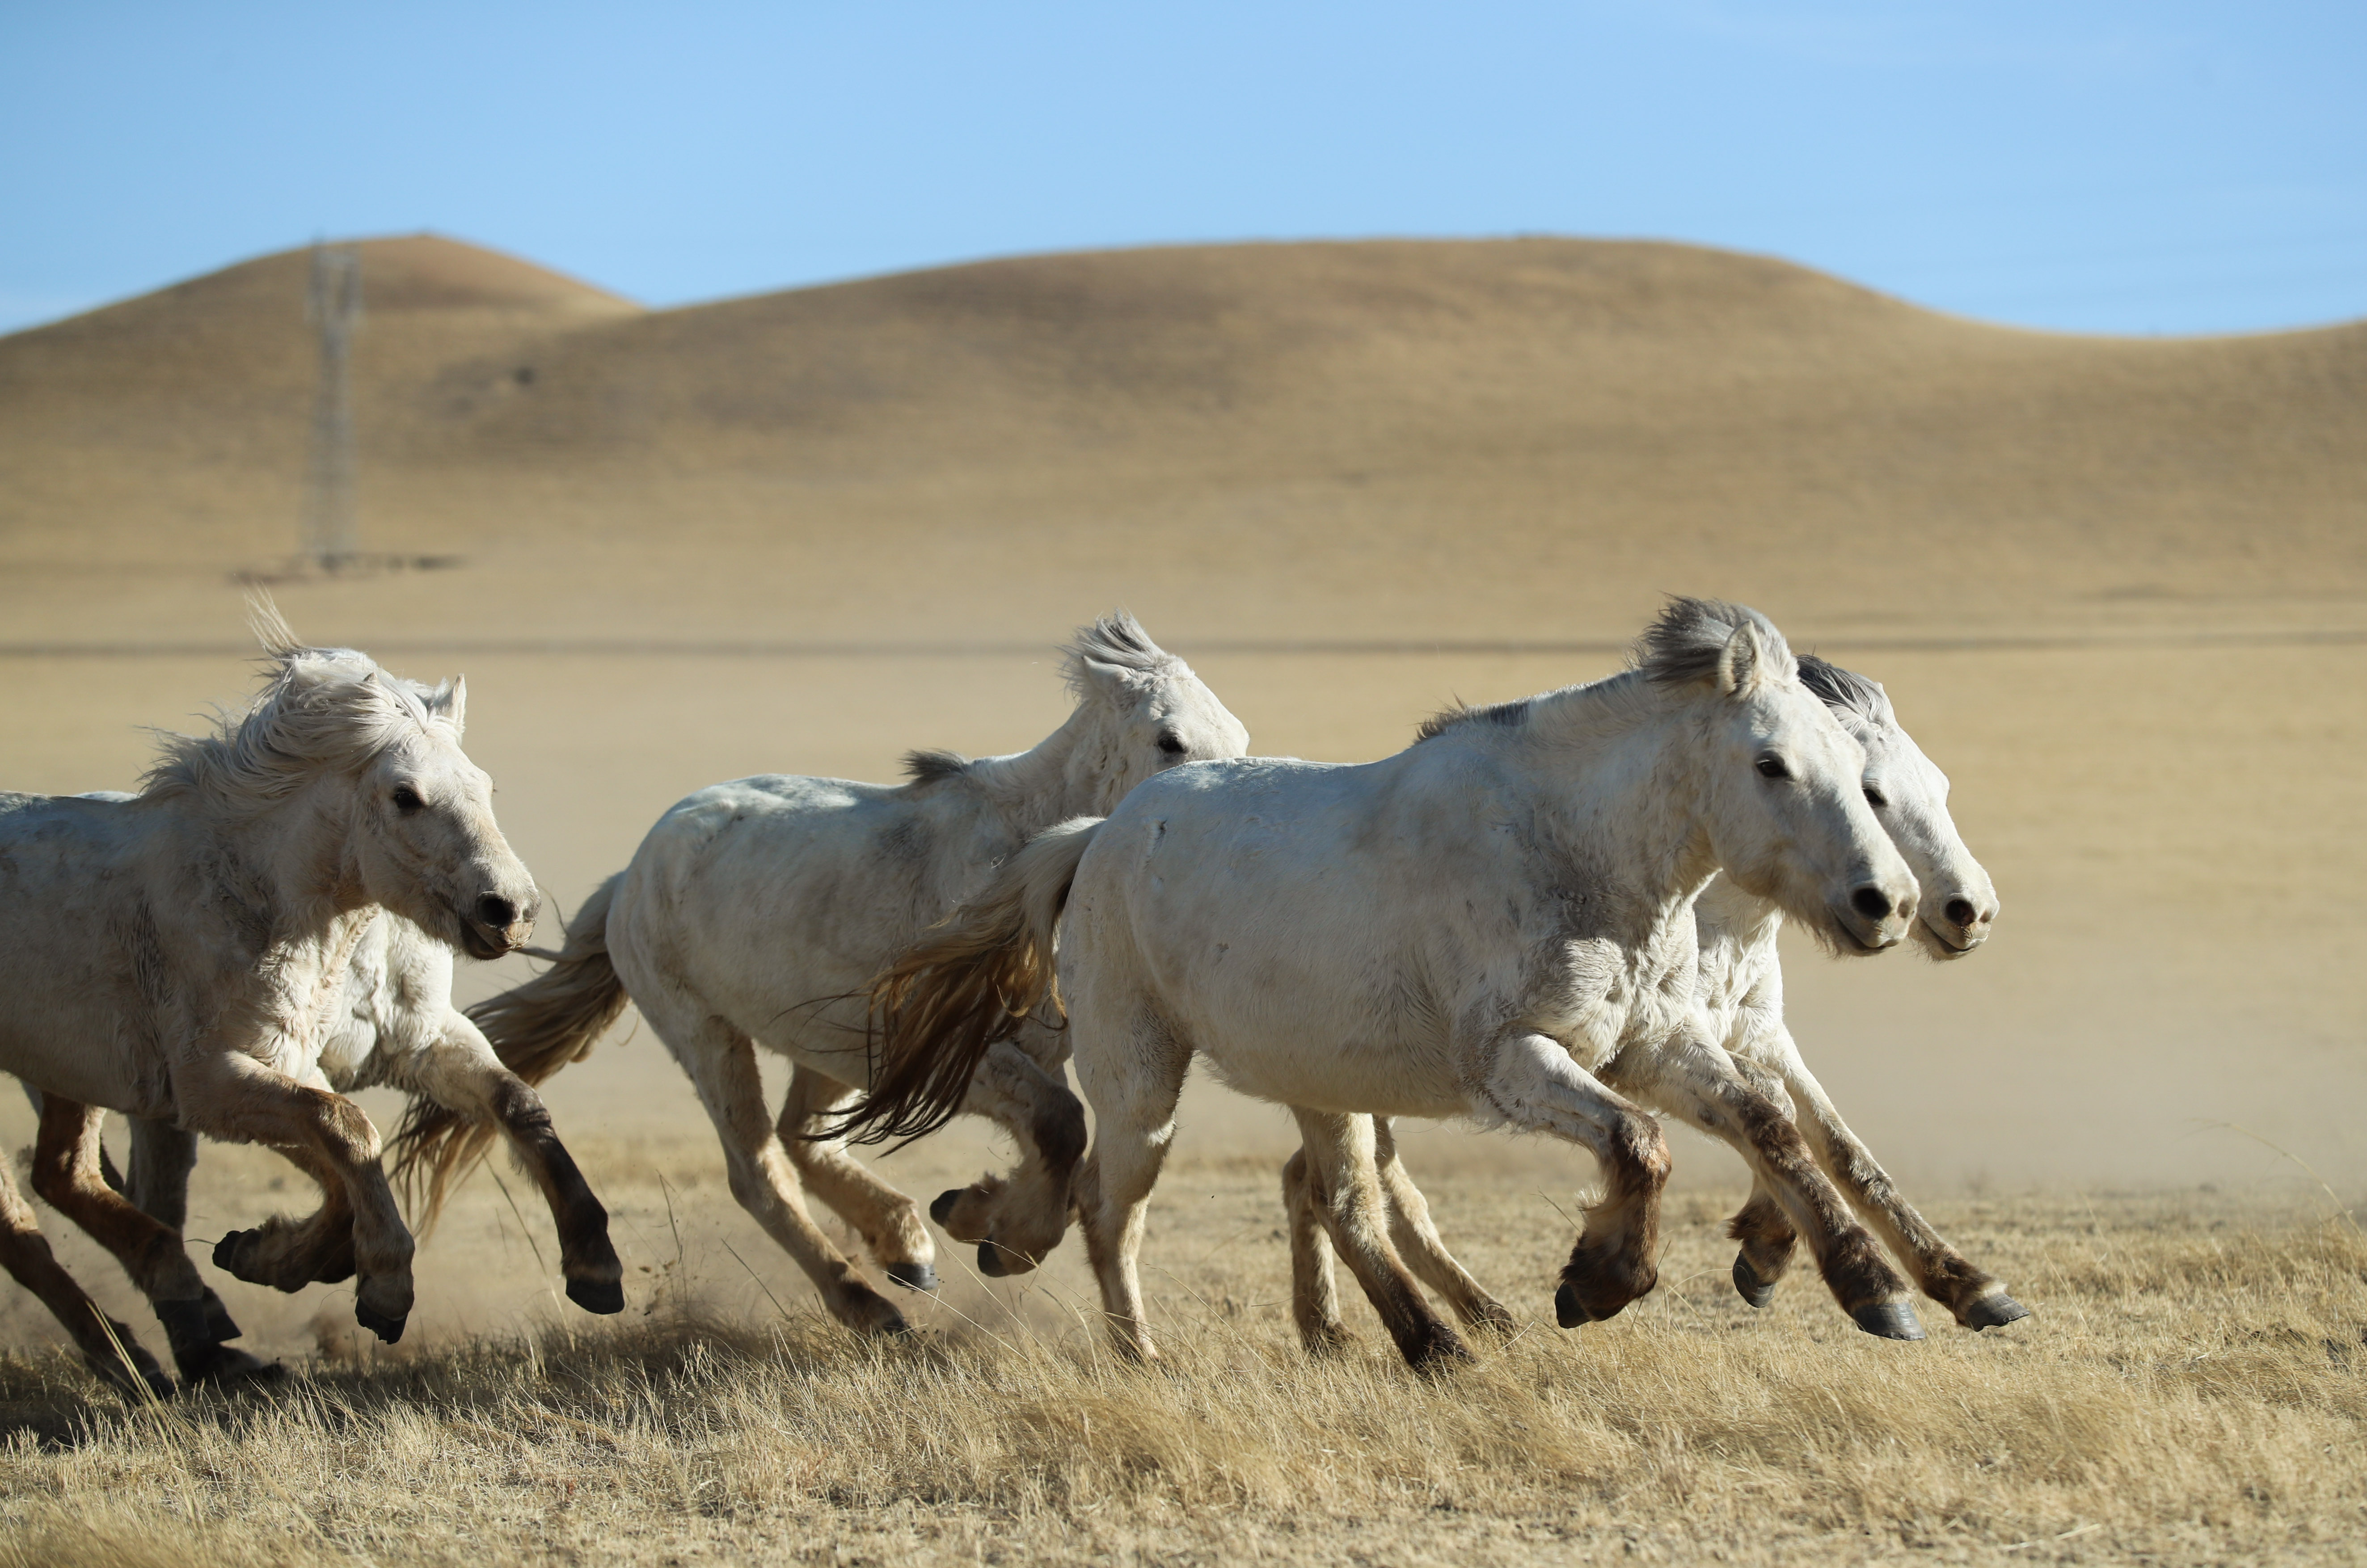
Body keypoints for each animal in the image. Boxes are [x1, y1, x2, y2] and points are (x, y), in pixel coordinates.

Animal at [397, 615, 1259, 1334]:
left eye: (1240, 735)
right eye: (1170, 740)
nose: (1209, 818)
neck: (1016, 853)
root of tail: (632, 874)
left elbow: (1056, 1138)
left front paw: (976, 1217)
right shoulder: (952, 1053)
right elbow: (1058, 1123)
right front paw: (1006, 1237)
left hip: (832, 1045)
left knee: (798, 1138)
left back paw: (905, 1247)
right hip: (707, 1035)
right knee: (760, 1170)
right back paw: (866, 1302)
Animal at [852, 596, 1922, 1371]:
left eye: (1859, 772)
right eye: (1770, 763)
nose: (1889, 901)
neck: (1570, 846)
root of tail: (1095, 835)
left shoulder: (1650, 1046)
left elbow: (1769, 1126)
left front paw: (1876, 1288)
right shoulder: (1515, 1059)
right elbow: (1639, 1142)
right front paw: (1598, 1279)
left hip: (1317, 1084)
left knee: (1337, 1200)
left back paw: (1428, 1339)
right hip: (1141, 1079)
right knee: (1115, 1208)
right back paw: (1143, 1350)